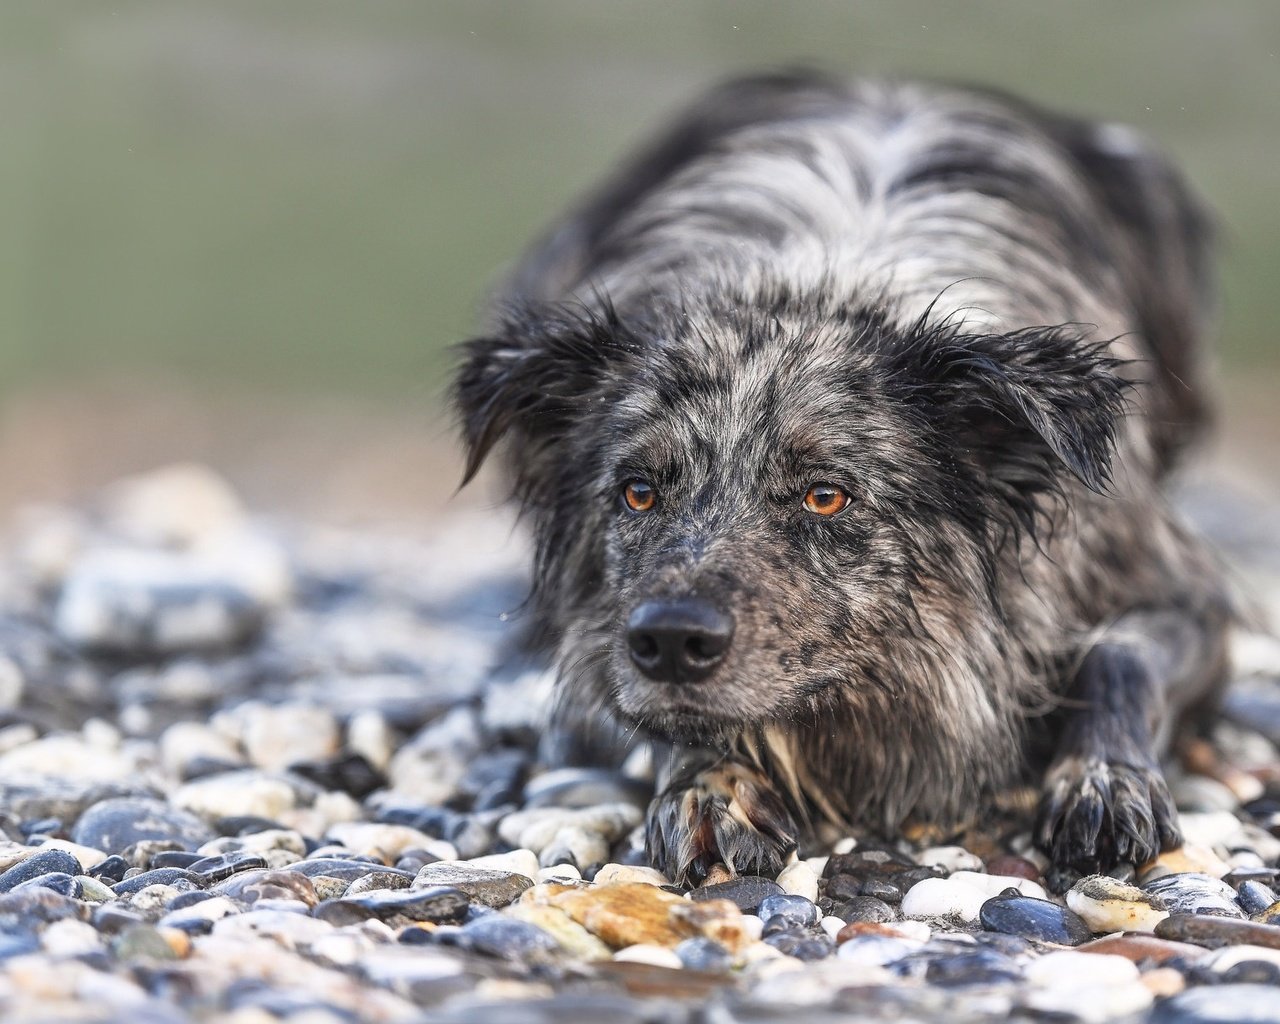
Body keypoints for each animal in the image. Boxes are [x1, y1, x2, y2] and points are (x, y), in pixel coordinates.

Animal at [455, 72, 1233, 890]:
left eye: (825, 495)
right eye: (638, 491)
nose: (669, 641)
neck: (822, 281)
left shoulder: (1183, 589)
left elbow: (1118, 652)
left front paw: (1104, 781)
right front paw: (709, 783)